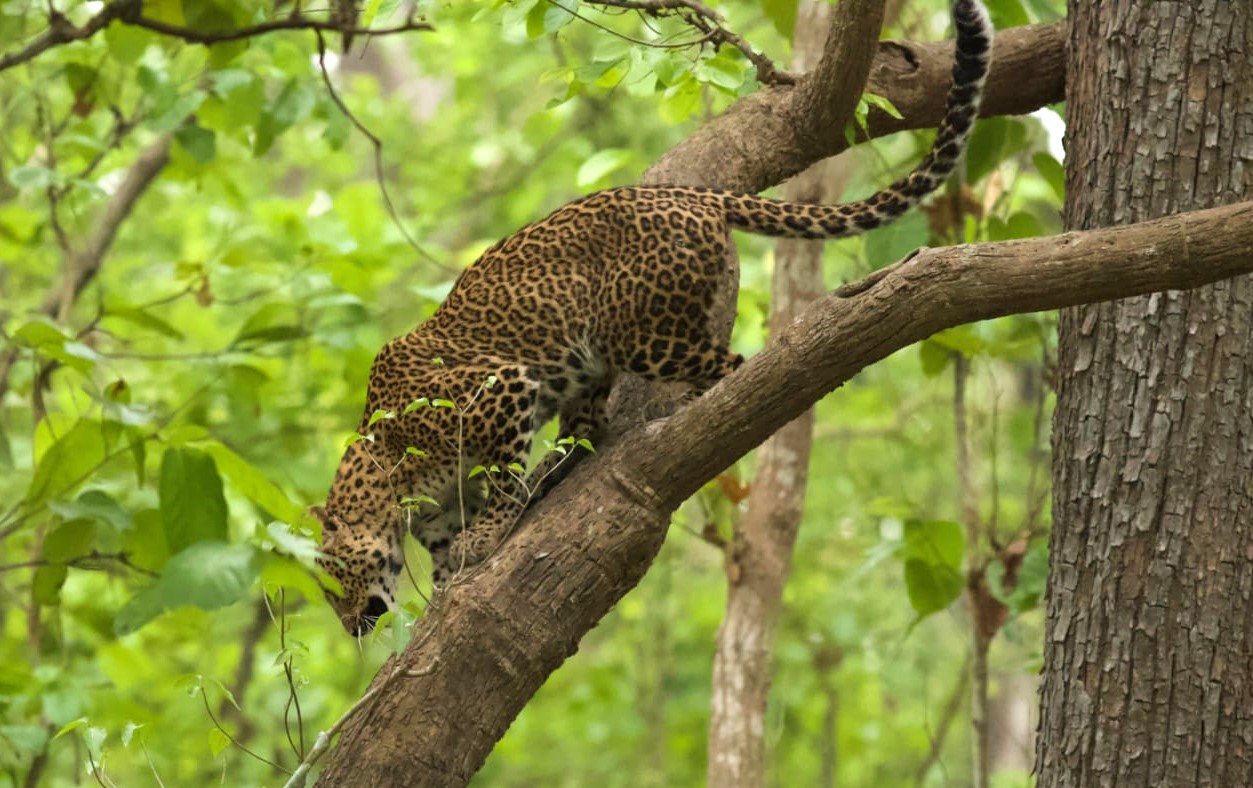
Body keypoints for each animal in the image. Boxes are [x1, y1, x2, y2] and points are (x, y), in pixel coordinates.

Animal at [314, 0, 993, 636]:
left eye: (331, 583)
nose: (350, 627)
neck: (391, 478)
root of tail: (695, 195)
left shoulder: (498, 390)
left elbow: (501, 482)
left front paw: (485, 537)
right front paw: (455, 563)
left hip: (634, 335)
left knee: (731, 367)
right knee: (589, 420)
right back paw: (559, 465)